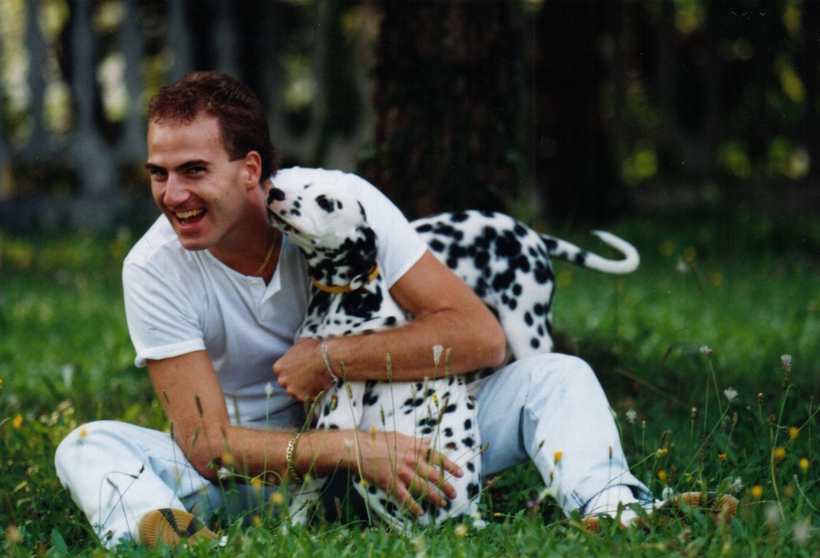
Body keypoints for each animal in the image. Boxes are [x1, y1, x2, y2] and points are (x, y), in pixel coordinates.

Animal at [266, 183, 484, 528]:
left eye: (326, 202)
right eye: (302, 185)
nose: (274, 192)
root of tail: (467, 514)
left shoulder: (334, 424)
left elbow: (303, 490)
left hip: (372, 475)